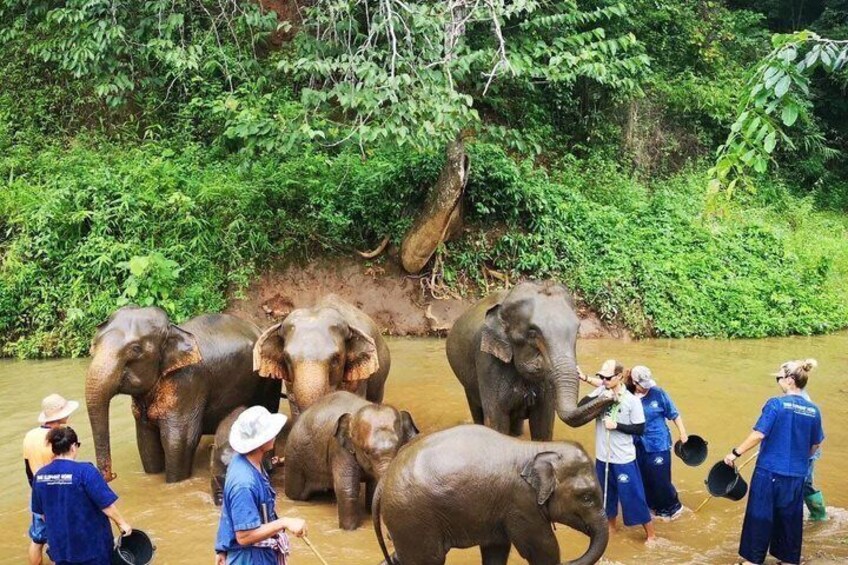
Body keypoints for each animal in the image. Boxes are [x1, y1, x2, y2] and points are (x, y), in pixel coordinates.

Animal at [86, 306, 281, 483]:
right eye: (94, 345)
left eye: (135, 349)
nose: (111, 476)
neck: (173, 329)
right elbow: (146, 440)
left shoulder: (187, 383)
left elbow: (178, 441)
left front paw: (173, 483)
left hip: (268, 381)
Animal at [284, 391, 418, 530]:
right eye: (366, 452)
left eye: (399, 448)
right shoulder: (339, 449)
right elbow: (347, 489)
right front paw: (348, 530)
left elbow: (373, 486)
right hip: (294, 458)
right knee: (296, 492)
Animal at [373, 425, 609, 565]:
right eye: (586, 497)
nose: (570, 562)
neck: (535, 448)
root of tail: (383, 480)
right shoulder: (521, 503)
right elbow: (542, 549)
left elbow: (497, 548)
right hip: (412, 515)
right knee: (427, 560)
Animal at [445, 281, 613, 441]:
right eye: (532, 333)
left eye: (577, 331)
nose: (610, 396)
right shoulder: (487, 363)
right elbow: (496, 421)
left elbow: (543, 425)